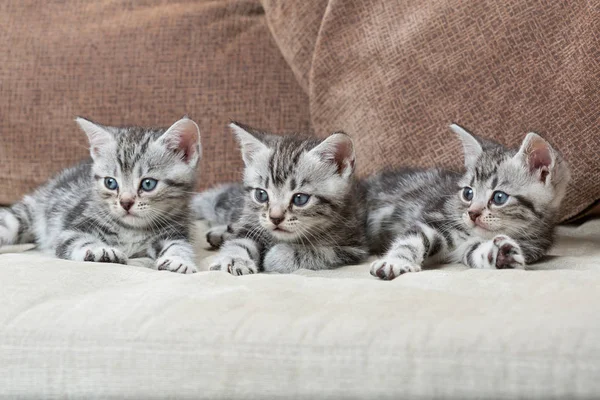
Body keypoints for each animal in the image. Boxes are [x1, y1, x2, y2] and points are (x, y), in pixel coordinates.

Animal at [0, 115, 202, 272]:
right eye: (110, 183)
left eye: (148, 184)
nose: (125, 203)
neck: (132, 230)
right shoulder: (73, 228)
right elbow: (78, 240)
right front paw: (100, 251)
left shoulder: (174, 230)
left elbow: (179, 245)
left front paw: (179, 260)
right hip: (21, 217)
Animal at [199, 122, 368, 276]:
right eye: (261, 195)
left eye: (300, 199)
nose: (275, 218)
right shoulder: (252, 225)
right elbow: (239, 242)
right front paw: (234, 259)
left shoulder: (351, 247)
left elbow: (316, 252)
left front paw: (273, 256)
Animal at [368, 123, 568, 280]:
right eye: (468, 193)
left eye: (499, 197)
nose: (472, 213)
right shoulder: (435, 219)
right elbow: (411, 240)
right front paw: (395, 261)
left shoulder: (532, 244)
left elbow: (474, 251)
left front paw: (499, 254)